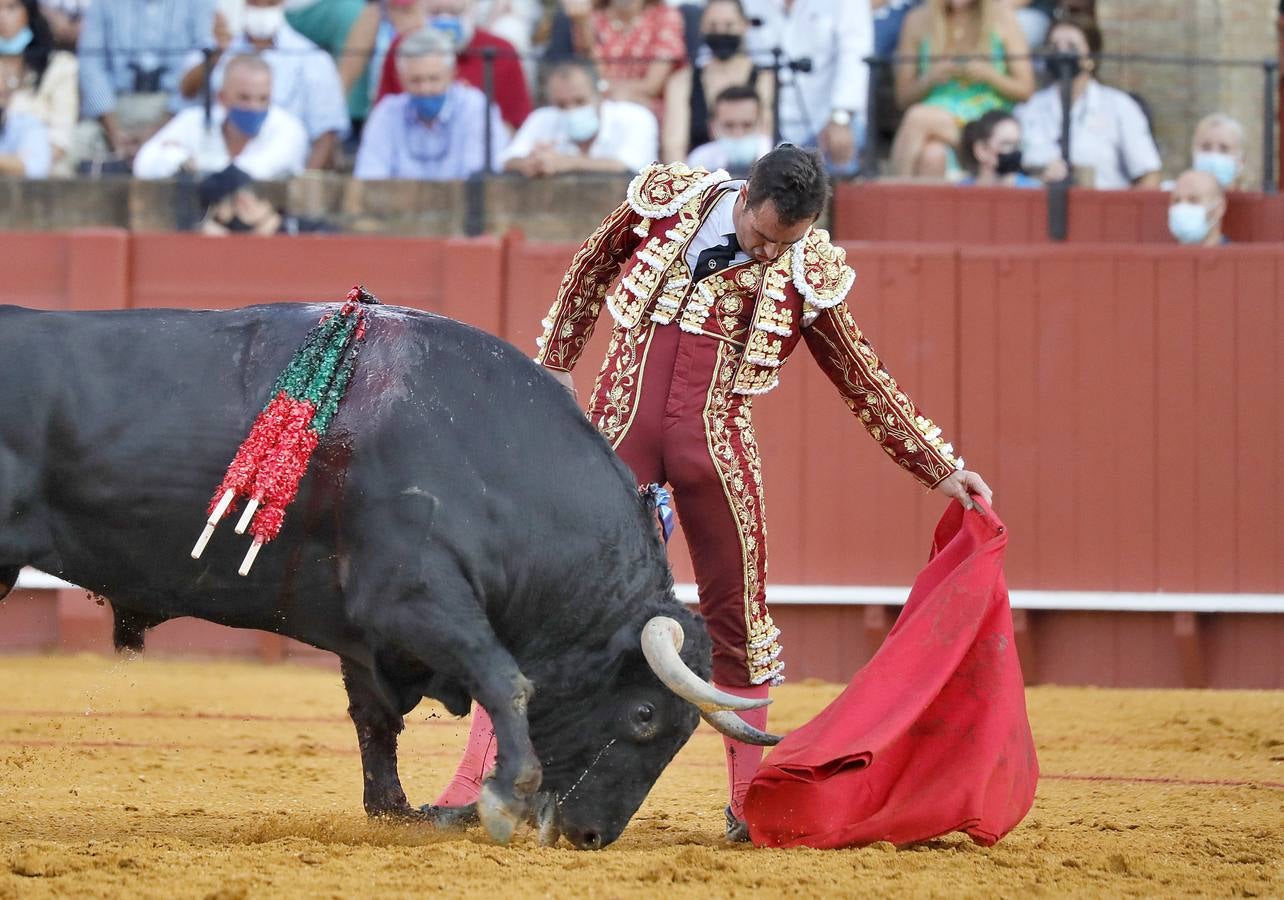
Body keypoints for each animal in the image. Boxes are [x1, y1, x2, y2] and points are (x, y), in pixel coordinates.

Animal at [0, 304, 749, 847]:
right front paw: (502, 799)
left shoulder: (370, 637)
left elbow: (376, 718)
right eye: (646, 715)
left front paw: (400, 810)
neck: (493, 457)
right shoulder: (410, 597)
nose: (590, 835)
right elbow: (503, 676)